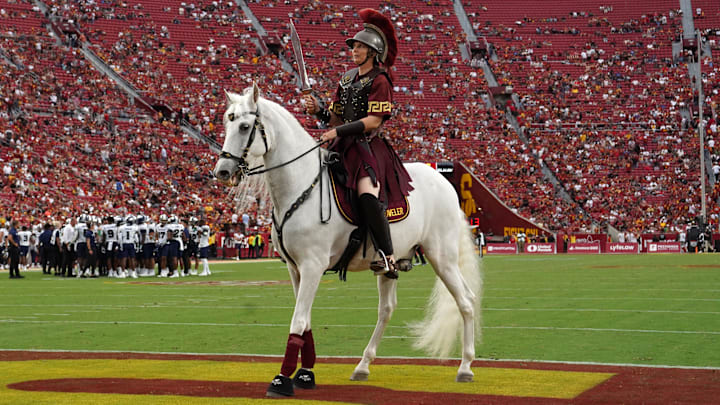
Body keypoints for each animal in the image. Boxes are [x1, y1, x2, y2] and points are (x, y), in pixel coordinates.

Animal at [214, 83, 484, 394]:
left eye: (245, 126)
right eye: (227, 123)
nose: (222, 171)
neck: (300, 186)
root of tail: (444, 182)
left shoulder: (312, 266)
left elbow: (298, 320)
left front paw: (282, 378)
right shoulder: (295, 269)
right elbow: (305, 320)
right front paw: (305, 373)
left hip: (443, 258)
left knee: (465, 301)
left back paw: (465, 367)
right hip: (392, 263)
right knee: (386, 310)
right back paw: (363, 365)